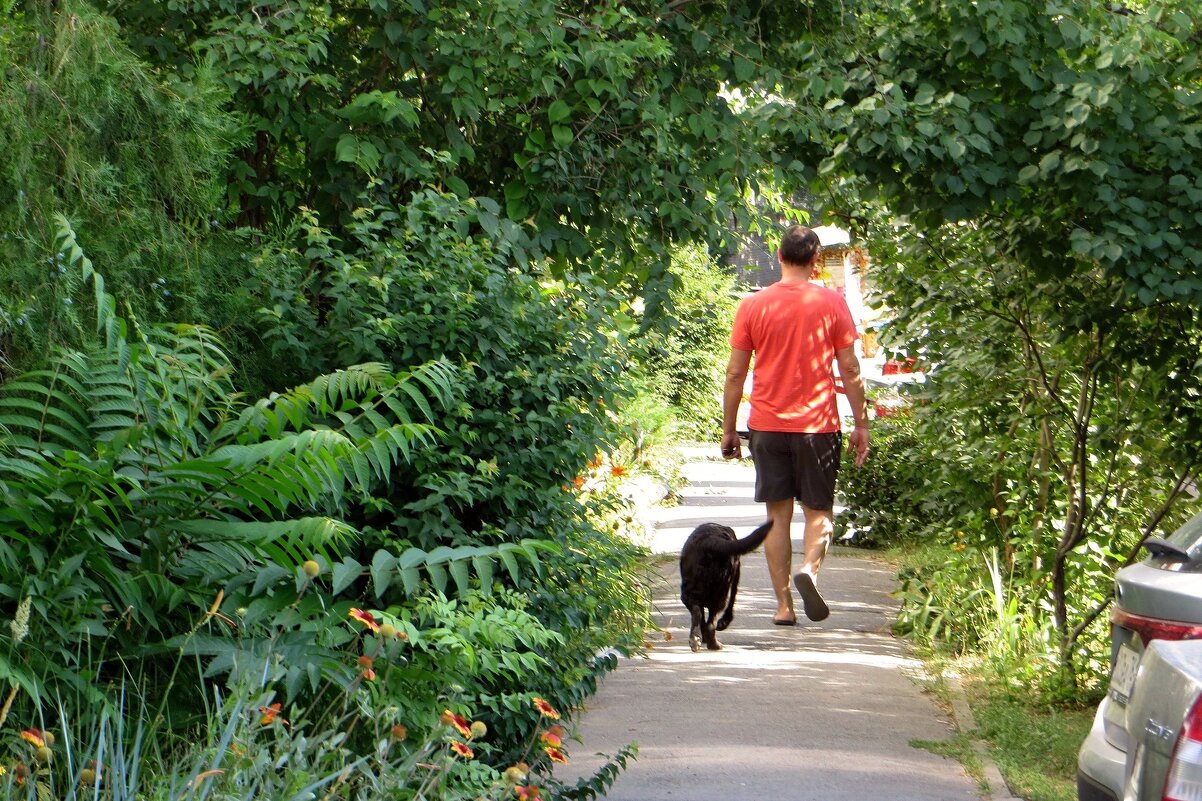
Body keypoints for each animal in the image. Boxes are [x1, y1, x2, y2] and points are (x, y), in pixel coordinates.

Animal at [682, 521, 774, 654]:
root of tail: (710, 541)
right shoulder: (735, 576)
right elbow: (732, 599)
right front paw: (724, 622)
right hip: (720, 594)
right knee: (711, 624)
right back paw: (714, 645)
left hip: (688, 595)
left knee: (697, 614)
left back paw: (695, 639)